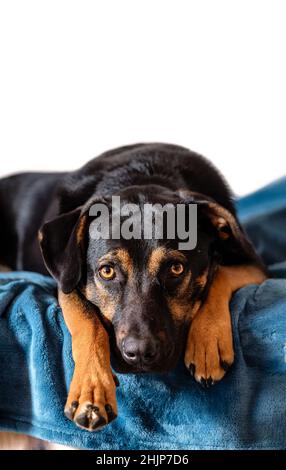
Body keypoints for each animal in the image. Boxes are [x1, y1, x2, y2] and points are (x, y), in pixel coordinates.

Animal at [0, 142, 268, 444]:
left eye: (176, 268)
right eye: (107, 271)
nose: (139, 354)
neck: (143, 174)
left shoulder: (255, 264)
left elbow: (220, 274)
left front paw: (207, 341)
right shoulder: (66, 279)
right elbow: (86, 320)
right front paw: (92, 389)